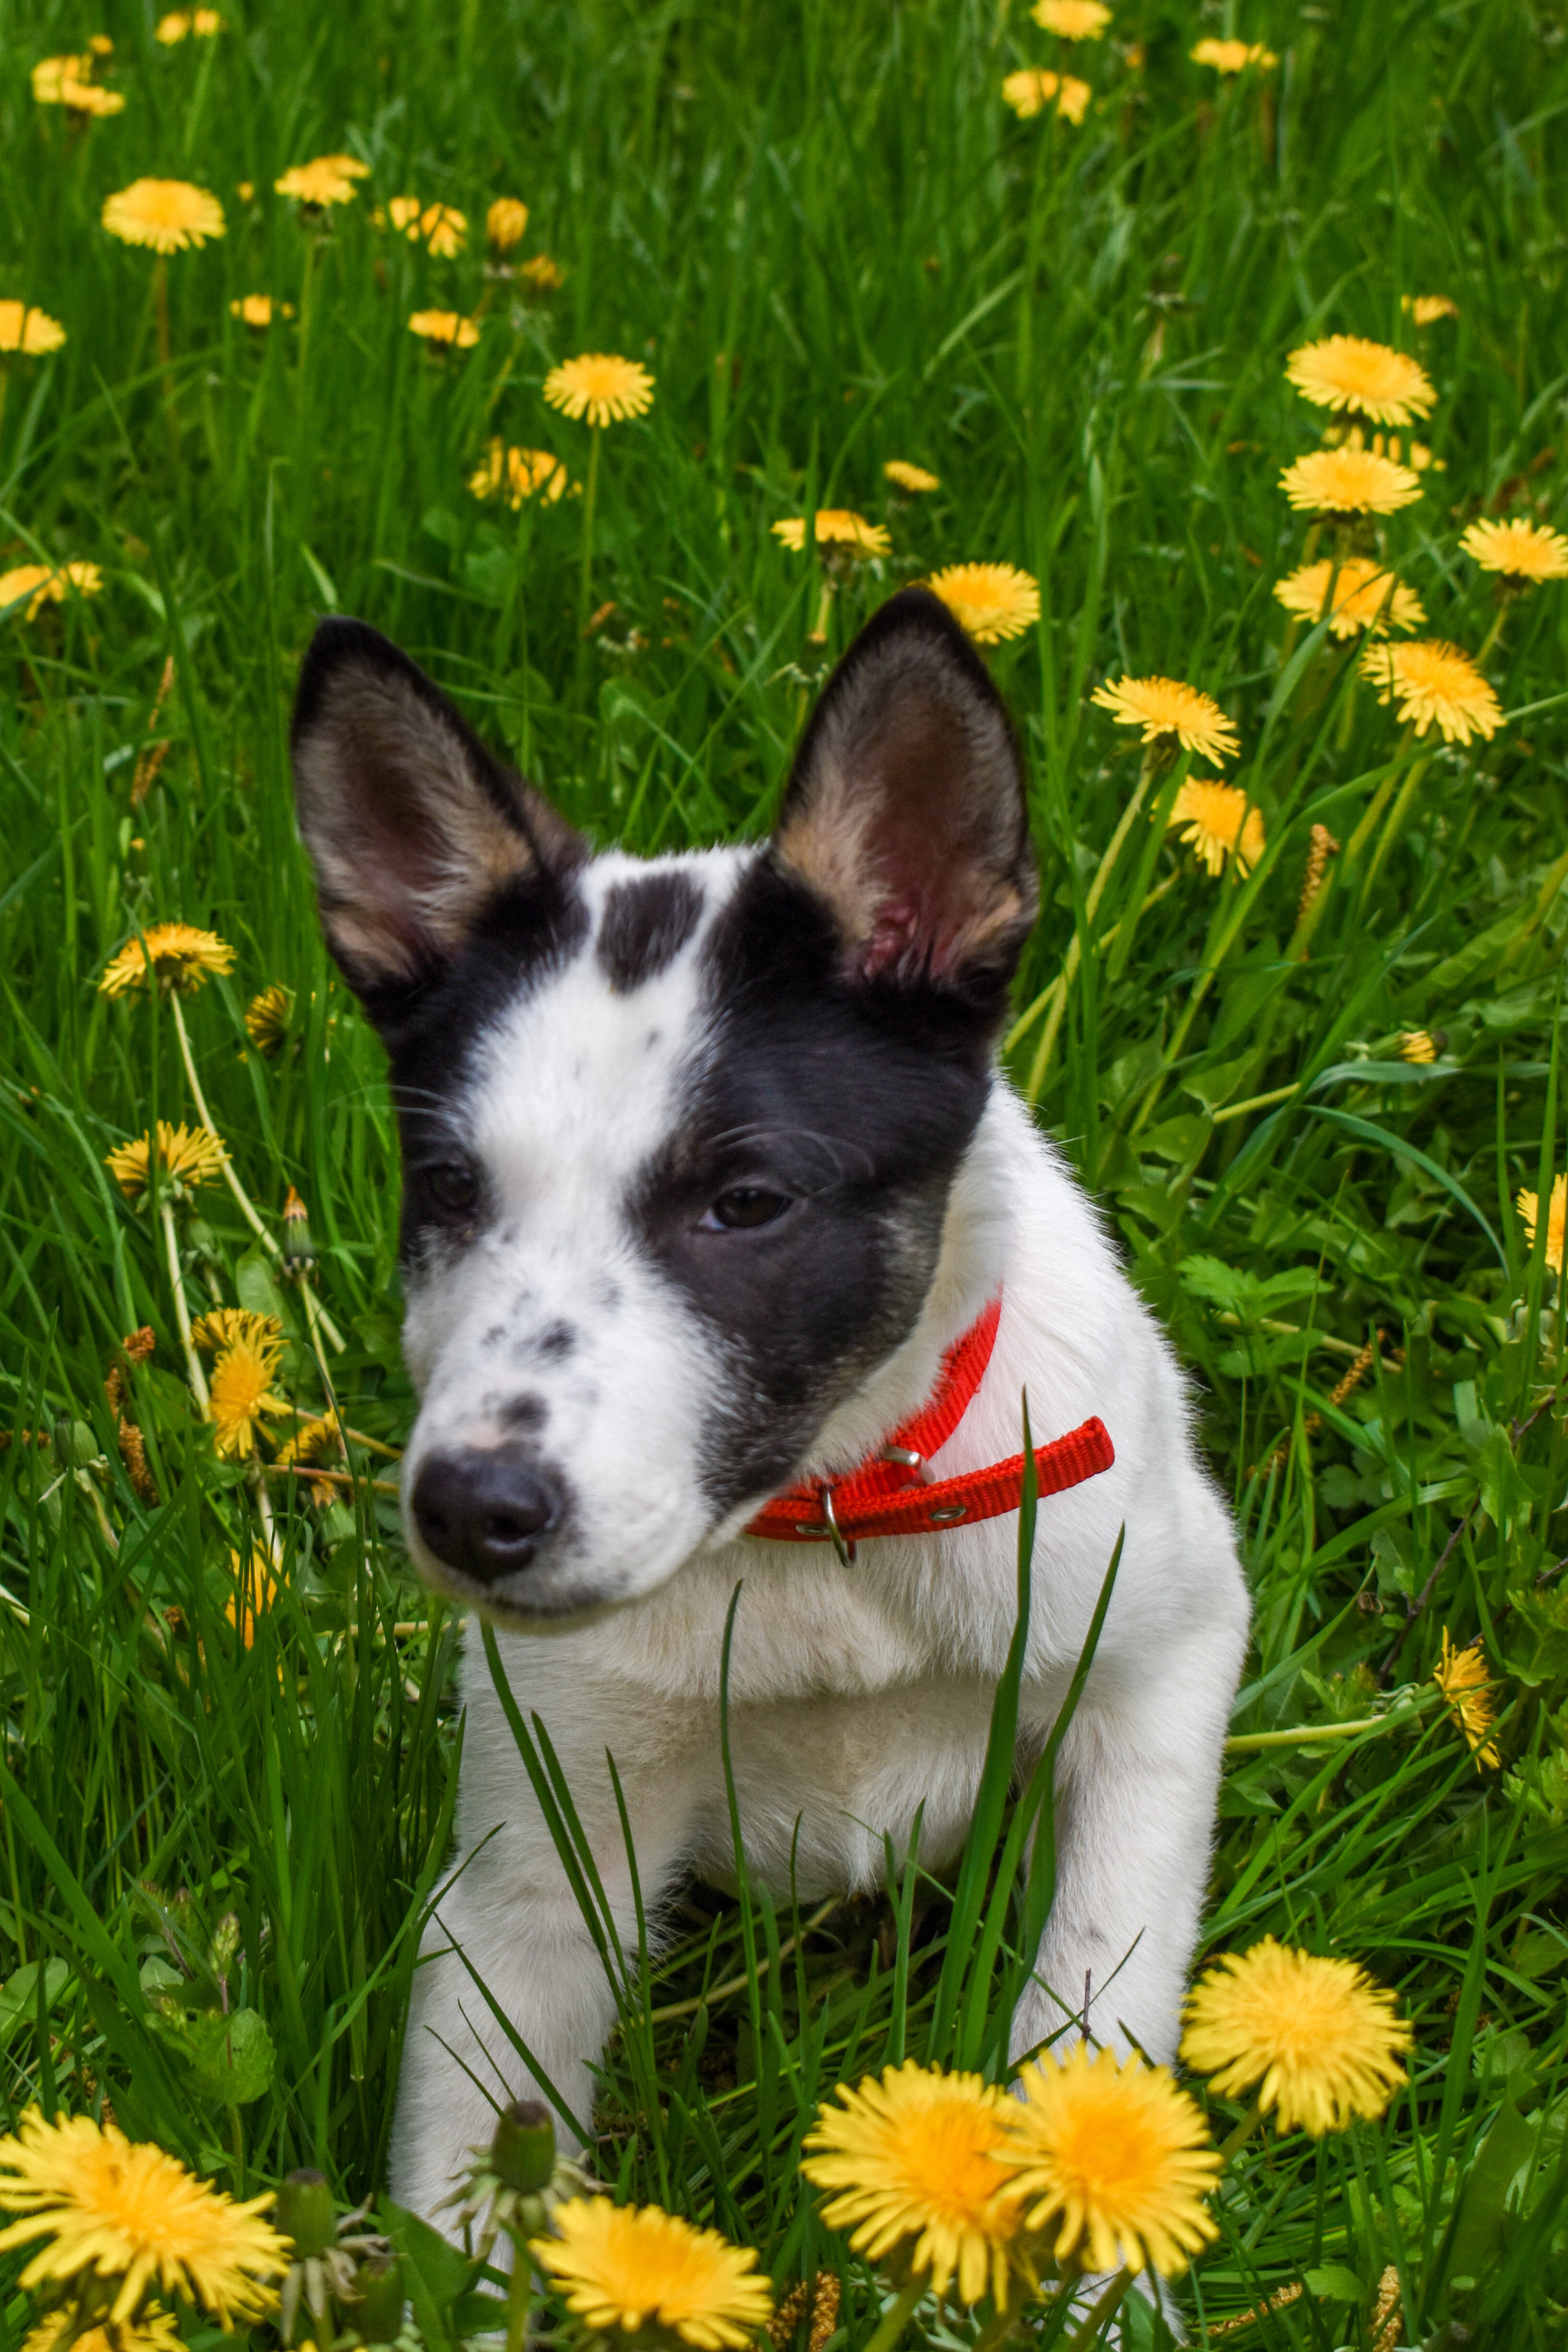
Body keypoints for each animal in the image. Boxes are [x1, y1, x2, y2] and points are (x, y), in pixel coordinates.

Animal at [291, 573, 1250, 2220]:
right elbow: (468, 2176)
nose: (471, 1513)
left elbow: (1089, 2016)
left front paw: (1092, 2258)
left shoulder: (1159, 1666)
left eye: (744, 1202)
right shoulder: (532, 1860)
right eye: (451, 1190)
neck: (824, 1521)